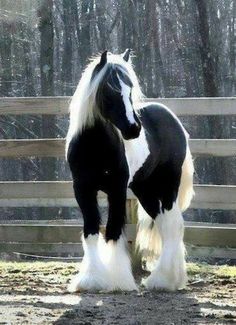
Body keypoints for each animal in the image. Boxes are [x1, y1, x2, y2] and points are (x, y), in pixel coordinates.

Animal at [66, 50, 194, 292]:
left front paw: (118, 281)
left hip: (168, 185)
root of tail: (172, 119)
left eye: (131, 89)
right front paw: (90, 280)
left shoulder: (116, 190)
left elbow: (114, 231)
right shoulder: (82, 189)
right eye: (109, 90)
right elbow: (91, 231)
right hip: (145, 189)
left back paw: (164, 280)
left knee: (172, 225)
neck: (95, 147)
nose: (133, 128)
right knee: (162, 223)